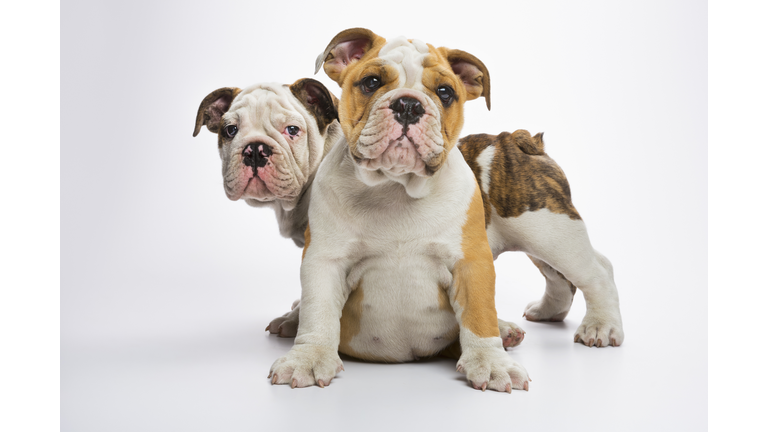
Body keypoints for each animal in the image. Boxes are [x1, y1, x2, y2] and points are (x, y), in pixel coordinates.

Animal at [270, 26, 536, 392]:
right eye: (371, 82)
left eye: (445, 92)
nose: (408, 104)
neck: (395, 188)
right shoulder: (324, 261)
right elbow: (318, 311)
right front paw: (308, 358)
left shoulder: (471, 262)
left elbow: (480, 316)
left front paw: (492, 362)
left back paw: (506, 329)